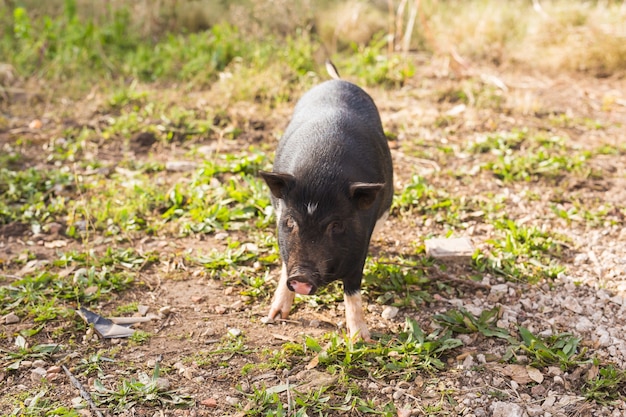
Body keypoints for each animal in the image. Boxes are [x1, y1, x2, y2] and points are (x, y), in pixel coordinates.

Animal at [258, 66, 390, 340]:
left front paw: (361, 339)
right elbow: (284, 265)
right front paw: (274, 317)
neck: (322, 171)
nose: (302, 277)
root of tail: (337, 81)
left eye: (336, 225)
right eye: (290, 222)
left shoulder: (360, 245)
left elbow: (353, 289)